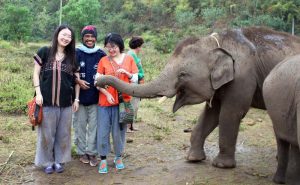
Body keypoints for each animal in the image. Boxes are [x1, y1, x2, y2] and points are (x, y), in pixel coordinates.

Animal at [96, 26, 300, 169]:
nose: (98, 81)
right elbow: (211, 112)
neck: (216, 42)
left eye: (182, 74)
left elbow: (231, 113)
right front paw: (193, 158)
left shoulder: (243, 77)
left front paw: (221, 165)